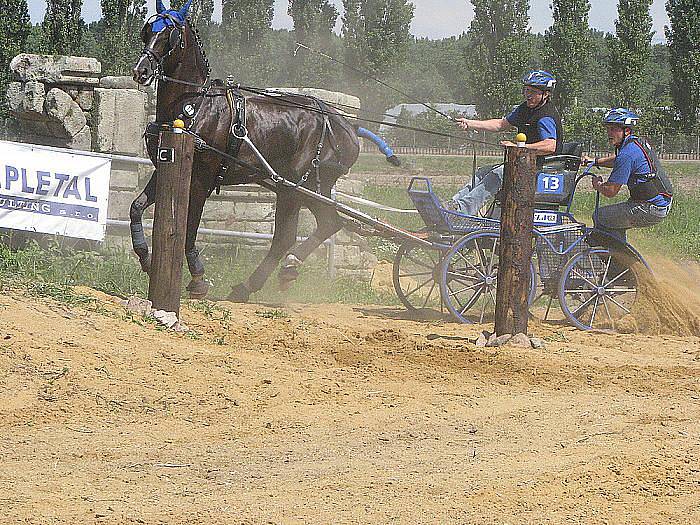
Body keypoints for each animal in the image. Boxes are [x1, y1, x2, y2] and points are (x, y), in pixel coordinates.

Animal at [129, 0, 396, 300]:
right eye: (147, 30)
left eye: (170, 34)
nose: (141, 71)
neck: (195, 105)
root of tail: (348, 125)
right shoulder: (163, 169)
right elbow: (136, 208)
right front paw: (146, 258)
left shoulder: (200, 180)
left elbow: (189, 228)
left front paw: (198, 277)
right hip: (299, 188)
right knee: (312, 229)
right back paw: (264, 279)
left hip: (300, 186)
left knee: (308, 231)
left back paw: (274, 273)